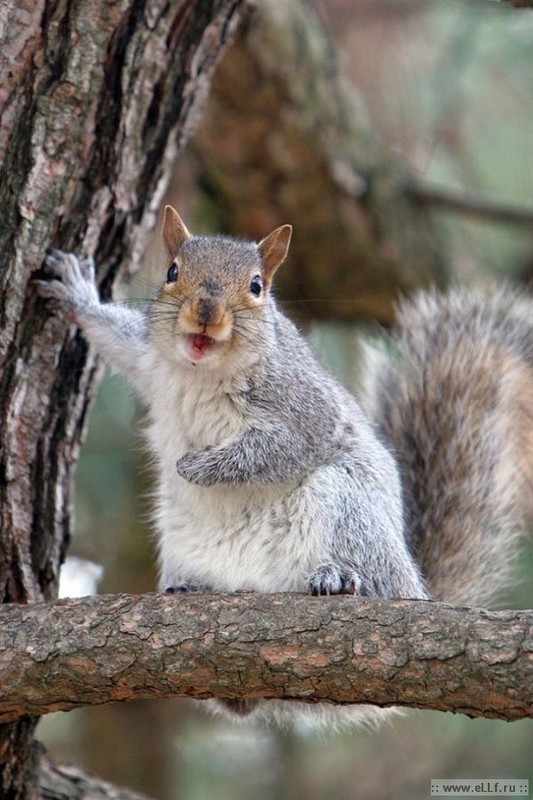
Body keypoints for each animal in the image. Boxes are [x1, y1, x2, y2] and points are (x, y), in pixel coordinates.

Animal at [35, 208, 528, 732]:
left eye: (257, 285)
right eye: (172, 271)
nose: (206, 312)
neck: (203, 371)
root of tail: (414, 585)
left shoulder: (303, 407)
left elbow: (279, 449)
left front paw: (198, 465)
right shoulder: (150, 358)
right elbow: (116, 335)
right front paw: (77, 295)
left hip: (347, 507)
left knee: (373, 581)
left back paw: (340, 579)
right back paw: (193, 586)